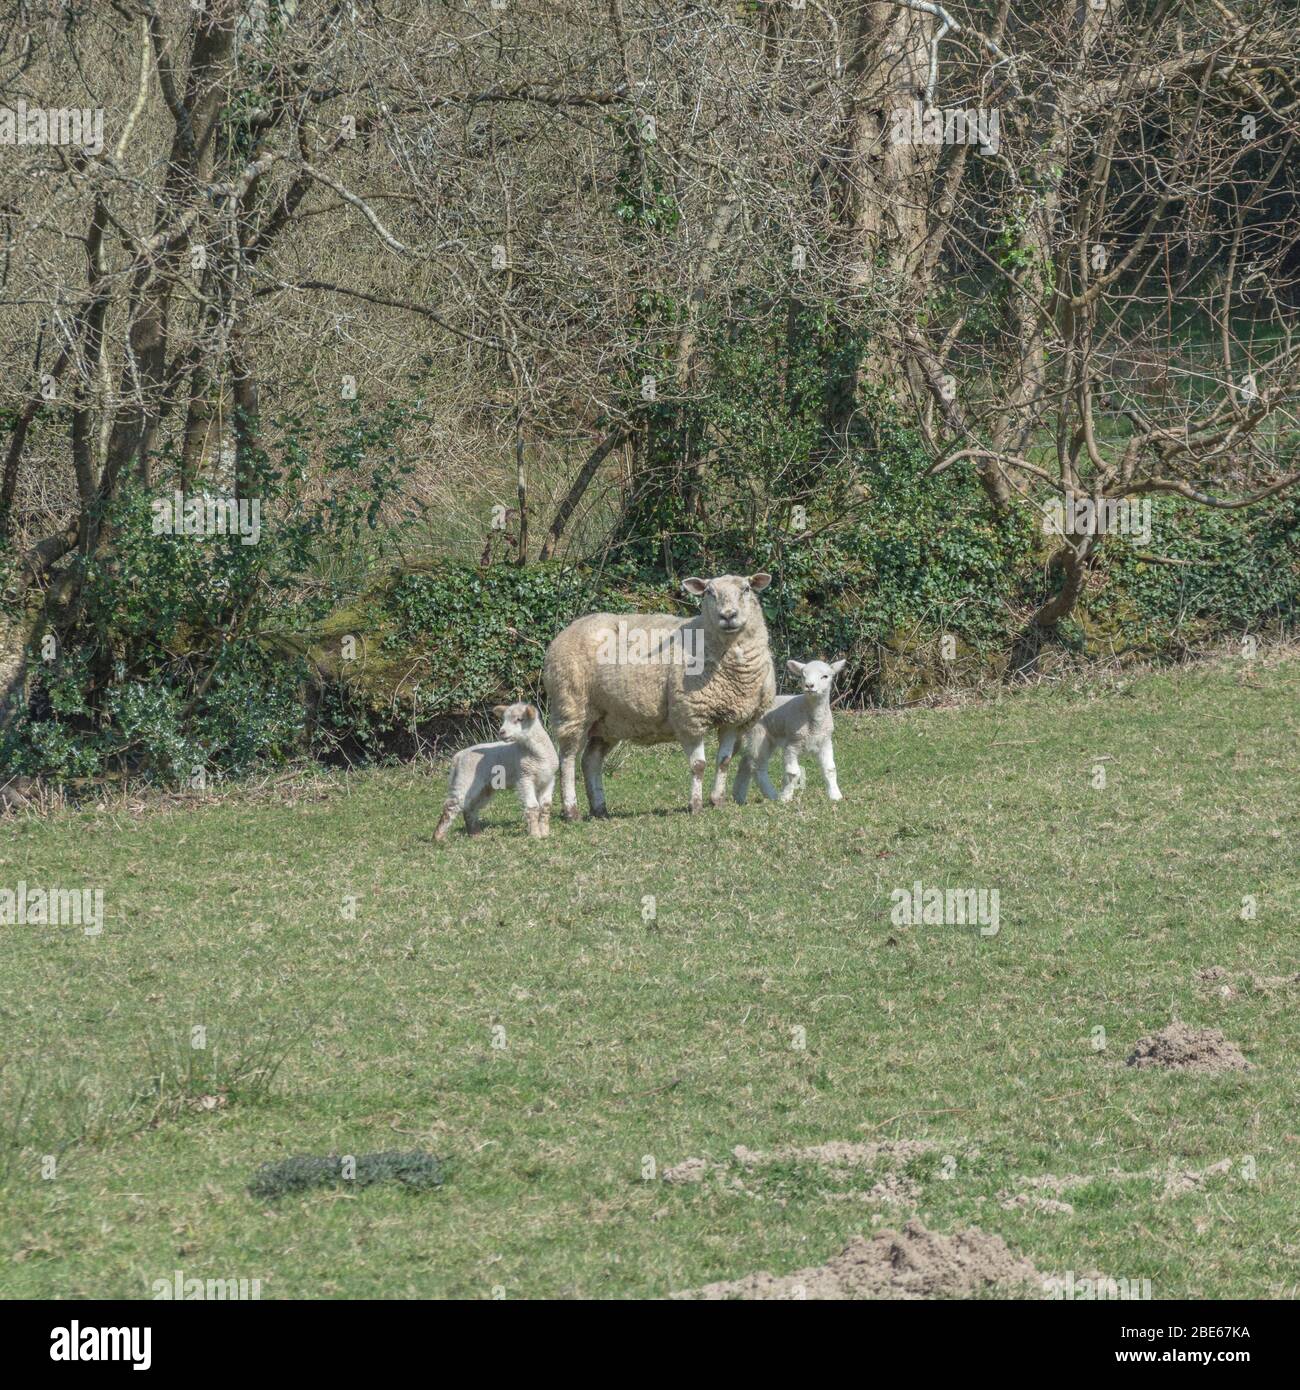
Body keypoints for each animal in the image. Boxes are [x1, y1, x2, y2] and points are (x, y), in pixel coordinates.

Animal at [436, 700, 558, 839]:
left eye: (519, 719)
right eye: (504, 719)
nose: (501, 732)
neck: (538, 754)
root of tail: (459, 755)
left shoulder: (548, 779)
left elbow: (546, 806)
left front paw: (545, 833)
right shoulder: (524, 777)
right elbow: (532, 806)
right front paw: (535, 835)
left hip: (484, 787)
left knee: (470, 807)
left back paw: (475, 835)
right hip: (465, 778)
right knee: (451, 805)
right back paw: (438, 837)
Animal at [542, 572, 773, 817]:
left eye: (746, 589)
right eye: (709, 592)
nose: (728, 615)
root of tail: (567, 630)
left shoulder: (732, 718)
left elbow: (724, 761)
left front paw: (717, 801)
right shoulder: (688, 715)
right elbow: (699, 765)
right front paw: (696, 805)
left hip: (608, 720)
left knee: (590, 760)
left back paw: (599, 809)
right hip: (571, 705)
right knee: (567, 759)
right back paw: (571, 810)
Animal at [739, 658, 850, 806]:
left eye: (825, 676)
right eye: (803, 675)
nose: (809, 685)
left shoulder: (825, 741)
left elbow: (830, 769)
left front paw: (835, 795)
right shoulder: (792, 743)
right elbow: (792, 773)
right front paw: (786, 797)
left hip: (768, 739)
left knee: (759, 766)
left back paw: (769, 795)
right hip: (757, 735)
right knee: (755, 766)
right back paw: (772, 794)